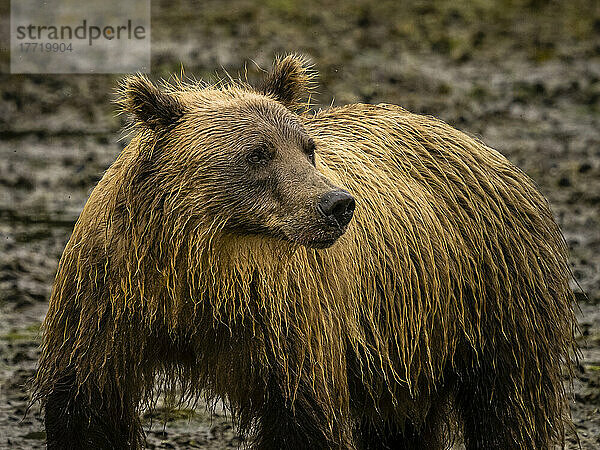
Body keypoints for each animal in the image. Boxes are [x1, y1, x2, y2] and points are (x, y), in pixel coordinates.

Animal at [31, 54, 576, 448]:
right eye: (257, 153)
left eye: (307, 147)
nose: (337, 203)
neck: (202, 268)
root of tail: (479, 144)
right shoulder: (110, 300)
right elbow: (85, 406)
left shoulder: (289, 322)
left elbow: (303, 418)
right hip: (408, 340)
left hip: (492, 299)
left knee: (510, 406)